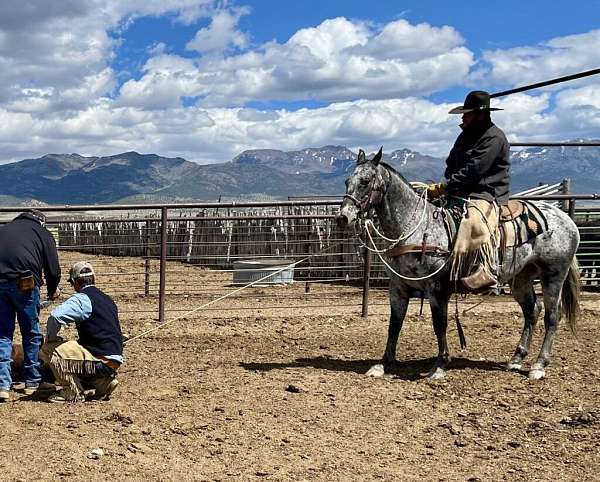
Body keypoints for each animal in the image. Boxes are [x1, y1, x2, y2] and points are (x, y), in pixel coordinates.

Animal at [340, 147, 580, 380]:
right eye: (347, 181)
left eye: (365, 181)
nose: (343, 216)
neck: (415, 228)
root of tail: (566, 219)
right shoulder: (398, 287)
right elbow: (394, 325)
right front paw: (383, 363)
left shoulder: (436, 288)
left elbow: (439, 324)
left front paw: (440, 365)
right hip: (521, 277)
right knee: (532, 311)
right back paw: (516, 358)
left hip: (553, 275)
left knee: (552, 316)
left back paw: (539, 365)